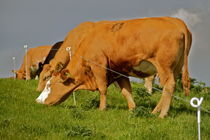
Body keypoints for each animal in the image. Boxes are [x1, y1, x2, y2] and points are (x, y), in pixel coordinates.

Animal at [36, 16, 192, 118]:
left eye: (49, 84)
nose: (38, 101)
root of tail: (178, 22)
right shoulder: (119, 71)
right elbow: (126, 91)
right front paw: (132, 109)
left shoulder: (98, 66)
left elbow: (102, 88)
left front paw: (102, 108)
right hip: (175, 68)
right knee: (167, 88)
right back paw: (155, 111)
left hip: (165, 67)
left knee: (169, 86)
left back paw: (162, 115)